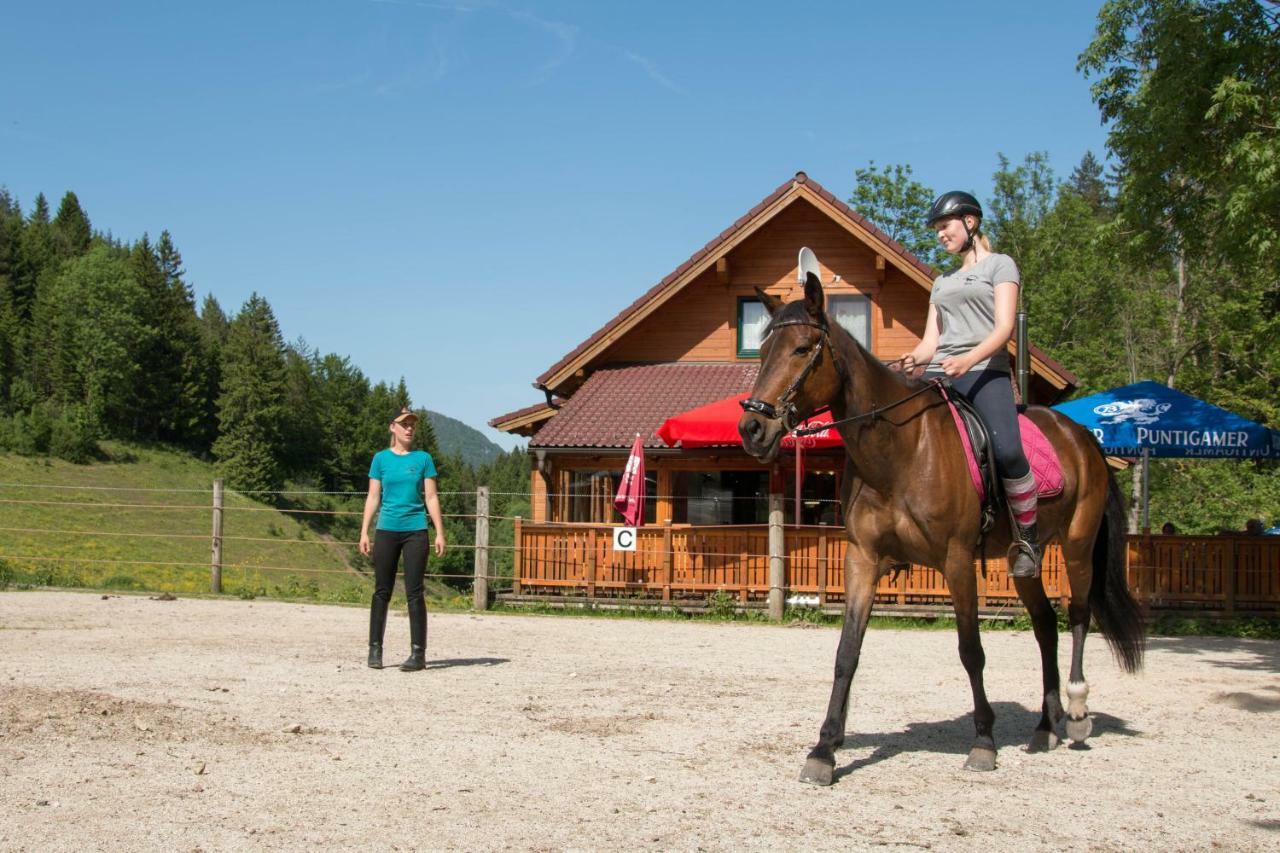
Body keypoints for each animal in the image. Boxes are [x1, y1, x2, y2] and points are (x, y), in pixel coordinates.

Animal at [737, 270, 1146, 783]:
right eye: (763, 350)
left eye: (801, 349)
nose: (751, 429)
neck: (901, 449)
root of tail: (1082, 436)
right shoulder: (862, 559)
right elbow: (846, 653)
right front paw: (824, 749)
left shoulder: (955, 561)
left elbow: (971, 650)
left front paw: (984, 741)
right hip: (1024, 560)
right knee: (1045, 626)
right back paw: (1044, 727)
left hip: (1076, 547)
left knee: (1078, 616)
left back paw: (1074, 713)